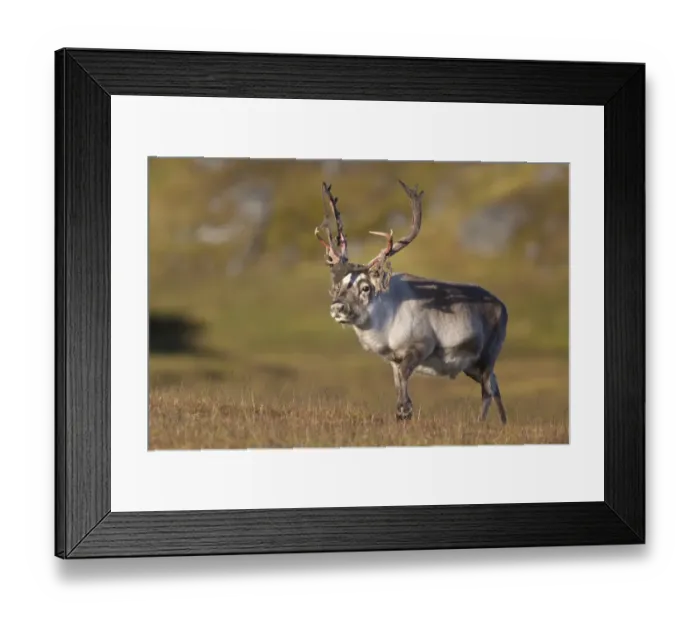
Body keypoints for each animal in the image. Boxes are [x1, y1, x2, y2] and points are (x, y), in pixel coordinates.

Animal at [314, 179, 509, 424]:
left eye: (366, 287)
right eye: (338, 286)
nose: (338, 307)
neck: (386, 324)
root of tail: (503, 306)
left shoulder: (420, 346)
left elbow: (406, 377)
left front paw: (404, 409)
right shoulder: (393, 359)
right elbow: (398, 381)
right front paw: (402, 414)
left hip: (487, 356)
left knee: (488, 390)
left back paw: (481, 423)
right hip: (471, 366)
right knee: (495, 384)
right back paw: (503, 424)